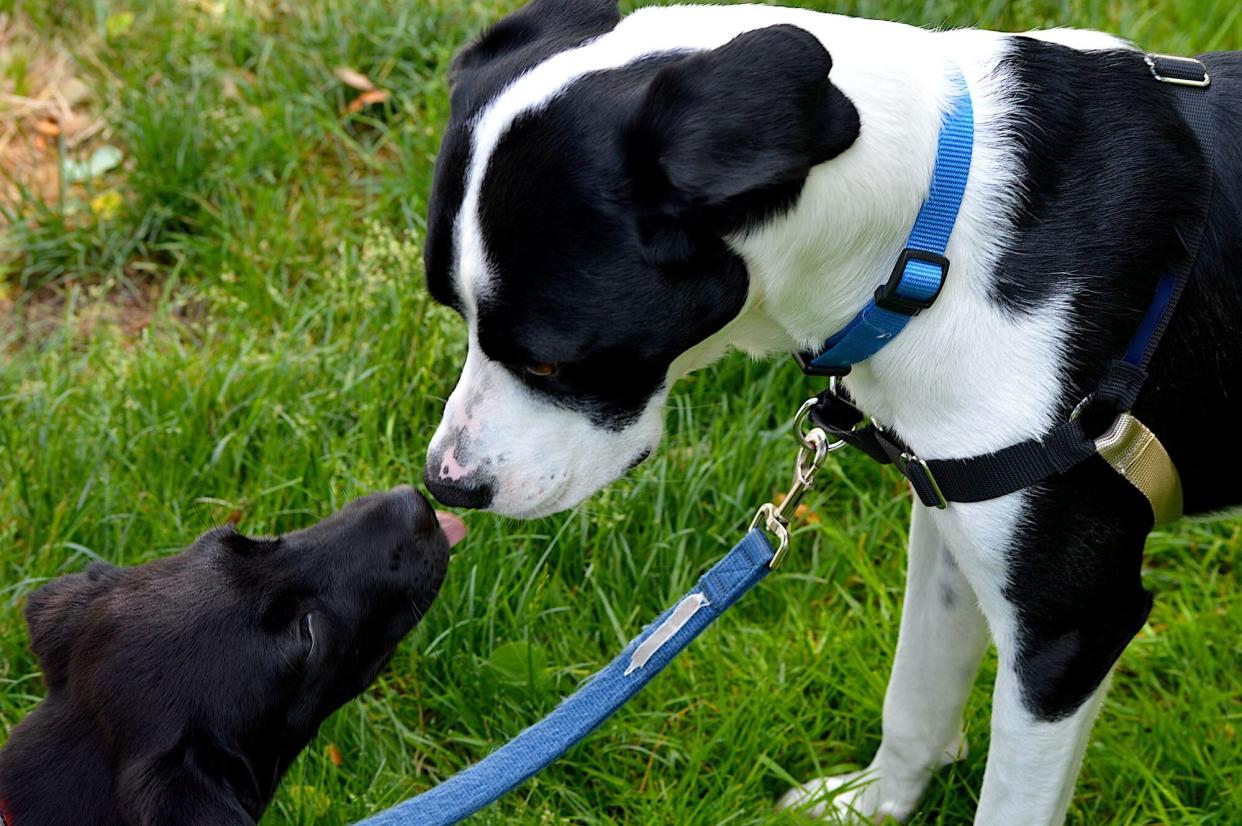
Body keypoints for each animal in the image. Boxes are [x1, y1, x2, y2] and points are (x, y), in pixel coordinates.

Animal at [422, 3, 1237, 819]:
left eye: (546, 361)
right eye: (453, 314)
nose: (444, 486)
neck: (934, 236)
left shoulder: (1069, 630)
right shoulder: (949, 520)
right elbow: (915, 701)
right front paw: (874, 804)